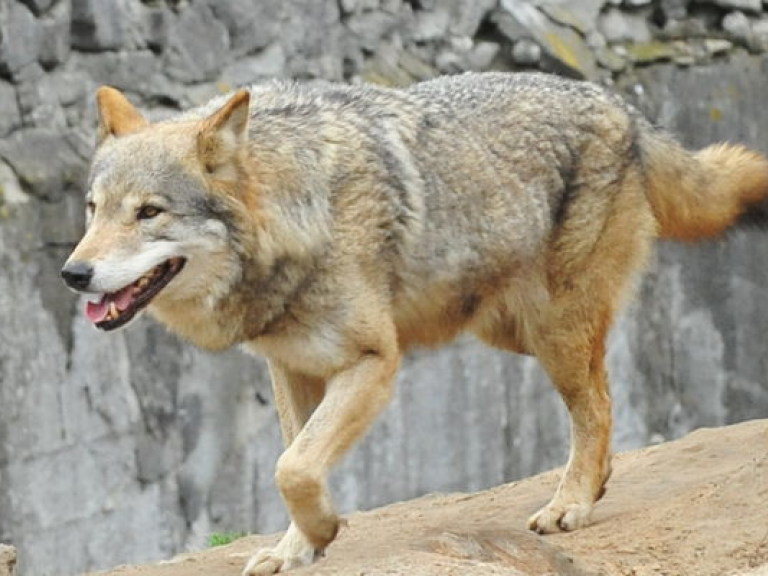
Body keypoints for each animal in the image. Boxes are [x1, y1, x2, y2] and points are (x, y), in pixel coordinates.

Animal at [61, 71, 768, 572]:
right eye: (94, 210)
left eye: (149, 212)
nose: (74, 274)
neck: (298, 214)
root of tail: (621, 104)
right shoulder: (291, 368)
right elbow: (295, 460)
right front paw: (297, 548)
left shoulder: (374, 362)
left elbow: (292, 468)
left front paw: (323, 531)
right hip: (511, 332)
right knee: (605, 400)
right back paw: (589, 490)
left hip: (553, 333)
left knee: (596, 405)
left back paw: (569, 505)